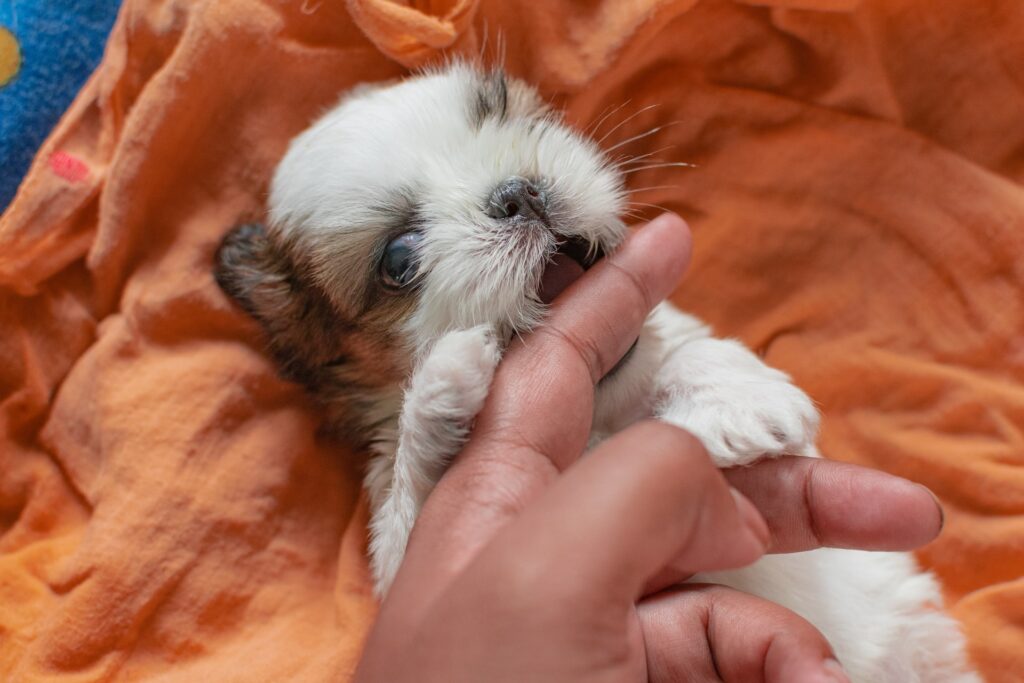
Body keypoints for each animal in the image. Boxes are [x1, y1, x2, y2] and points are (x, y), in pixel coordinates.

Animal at [214, 63, 974, 683]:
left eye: (508, 118)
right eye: (399, 259)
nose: (516, 193)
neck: (605, 409)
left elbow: (693, 347)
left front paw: (739, 398)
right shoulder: (411, 567)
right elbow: (413, 502)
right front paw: (442, 382)